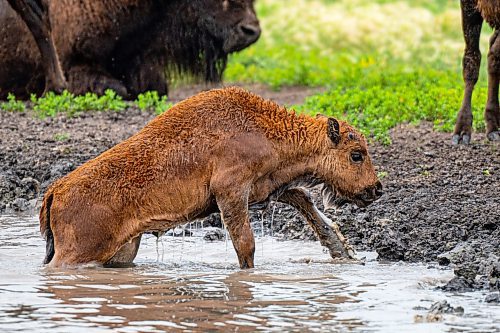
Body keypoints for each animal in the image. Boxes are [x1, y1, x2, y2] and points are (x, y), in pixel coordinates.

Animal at [40, 87, 382, 268]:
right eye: (356, 154)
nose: (376, 189)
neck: (263, 129)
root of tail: (55, 191)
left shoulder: (267, 187)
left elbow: (307, 203)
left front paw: (343, 252)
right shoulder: (231, 191)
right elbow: (245, 244)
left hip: (121, 250)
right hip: (78, 253)